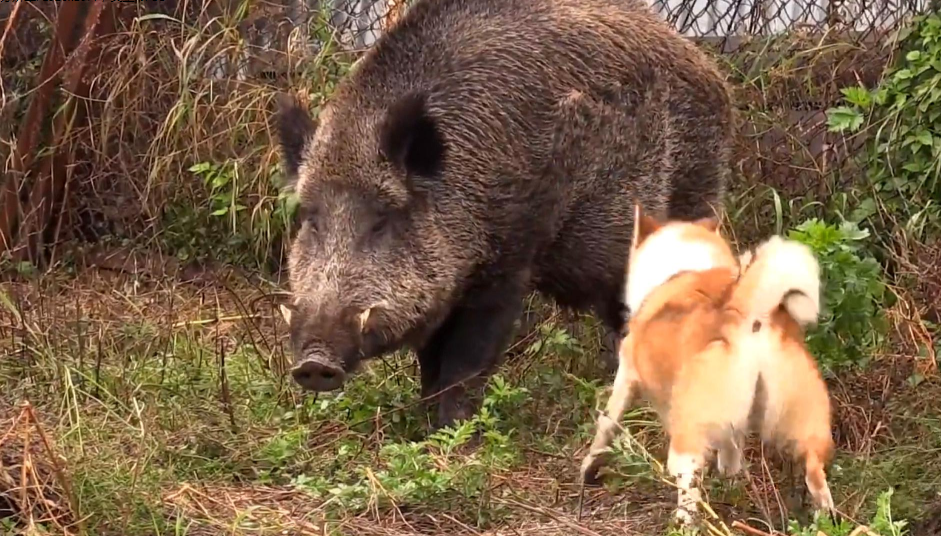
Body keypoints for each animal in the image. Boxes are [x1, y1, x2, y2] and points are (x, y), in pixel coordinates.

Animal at [580, 203, 836, 524]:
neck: (684, 268)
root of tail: (749, 314)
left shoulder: (626, 376)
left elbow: (606, 423)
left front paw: (588, 468)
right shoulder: (732, 425)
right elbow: (731, 454)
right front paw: (729, 480)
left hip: (687, 437)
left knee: (688, 487)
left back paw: (682, 523)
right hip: (805, 425)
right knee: (817, 479)